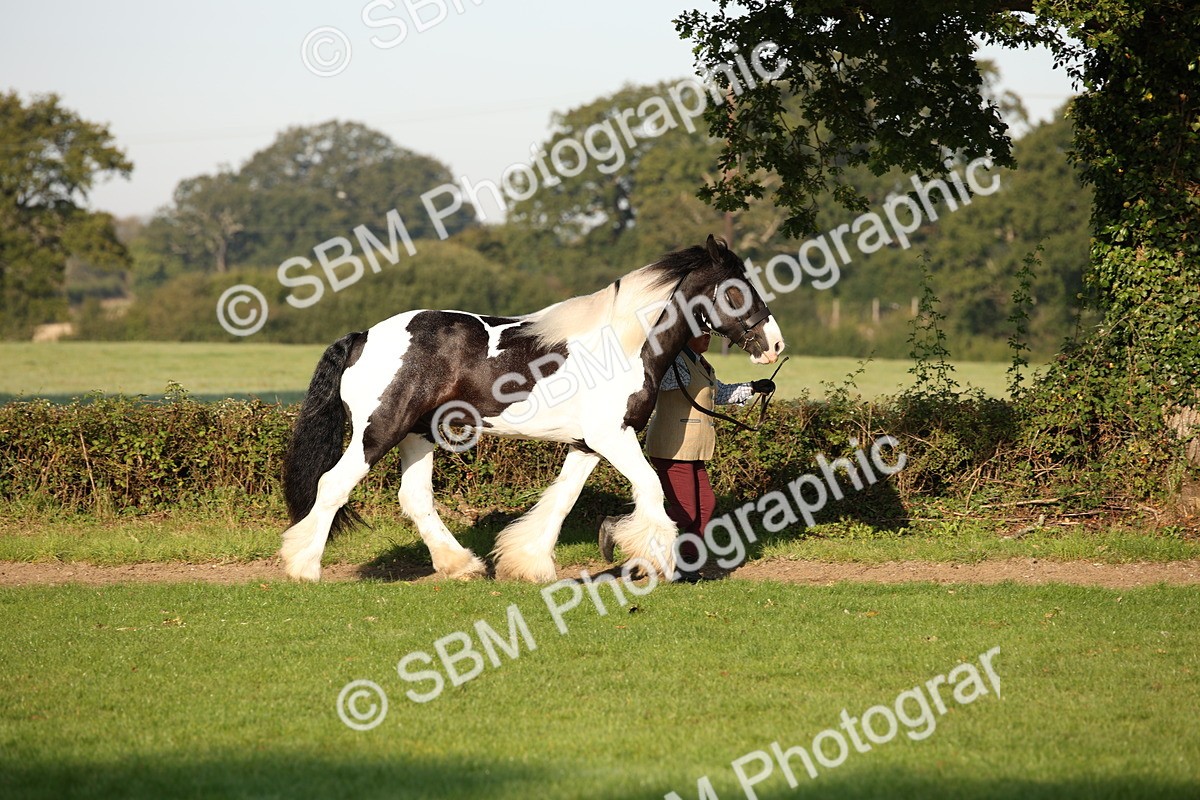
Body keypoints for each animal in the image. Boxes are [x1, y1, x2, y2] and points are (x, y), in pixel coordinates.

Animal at [279, 235, 785, 583]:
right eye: (735, 291)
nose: (774, 346)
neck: (624, 345)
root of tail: (363, 336)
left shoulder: (587, 445)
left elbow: (561, 501)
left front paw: (527, 562)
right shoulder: (614, 437)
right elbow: (652, 490)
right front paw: (653, 559)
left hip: (417, 433)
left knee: (415, 499)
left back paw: (462, 566)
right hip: (379, 430)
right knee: (332, 485)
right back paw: (304, 566)